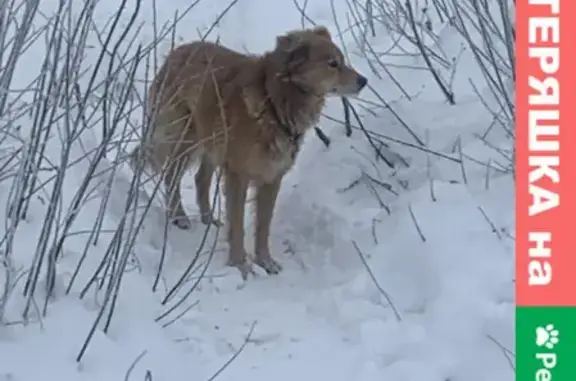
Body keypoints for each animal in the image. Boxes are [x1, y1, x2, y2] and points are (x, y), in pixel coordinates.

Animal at [131, 26, 366, 276]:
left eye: (341, 61)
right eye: (332, 63)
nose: (364, 81)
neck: (275, 102)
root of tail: (177, 53)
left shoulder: (272, 177)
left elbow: (263, 225)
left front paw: (265, 261)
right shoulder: (238, 174)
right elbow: (237, 225)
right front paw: (240, 264)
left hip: (212, 143)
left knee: (200, 178)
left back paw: (207, 219)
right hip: (186, 138)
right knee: (171, 176)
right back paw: (179, 216)